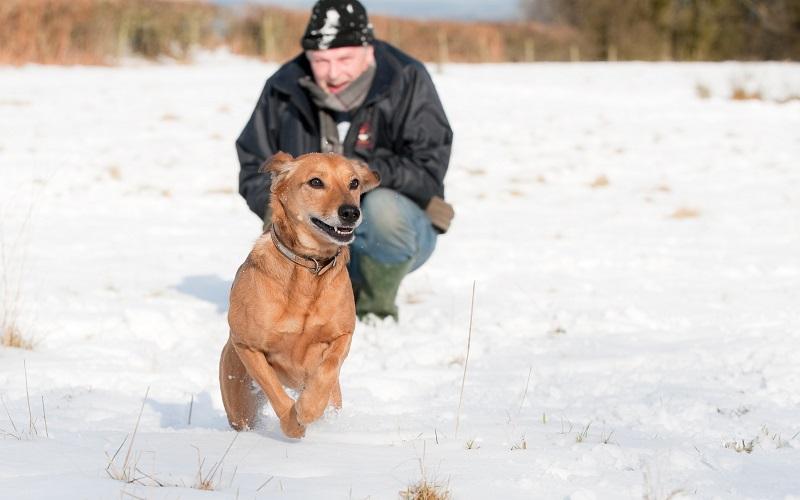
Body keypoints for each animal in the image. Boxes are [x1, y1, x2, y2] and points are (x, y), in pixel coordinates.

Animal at [219, 151, 382, 438]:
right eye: (316, 182)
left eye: (353, 183)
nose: (351, 212)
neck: (309, 267)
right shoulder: (247, 345)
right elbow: (273, 387)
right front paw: (293, 424)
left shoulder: (343, 334)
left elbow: (328, 368)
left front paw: (309, 408)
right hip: (239, 402)